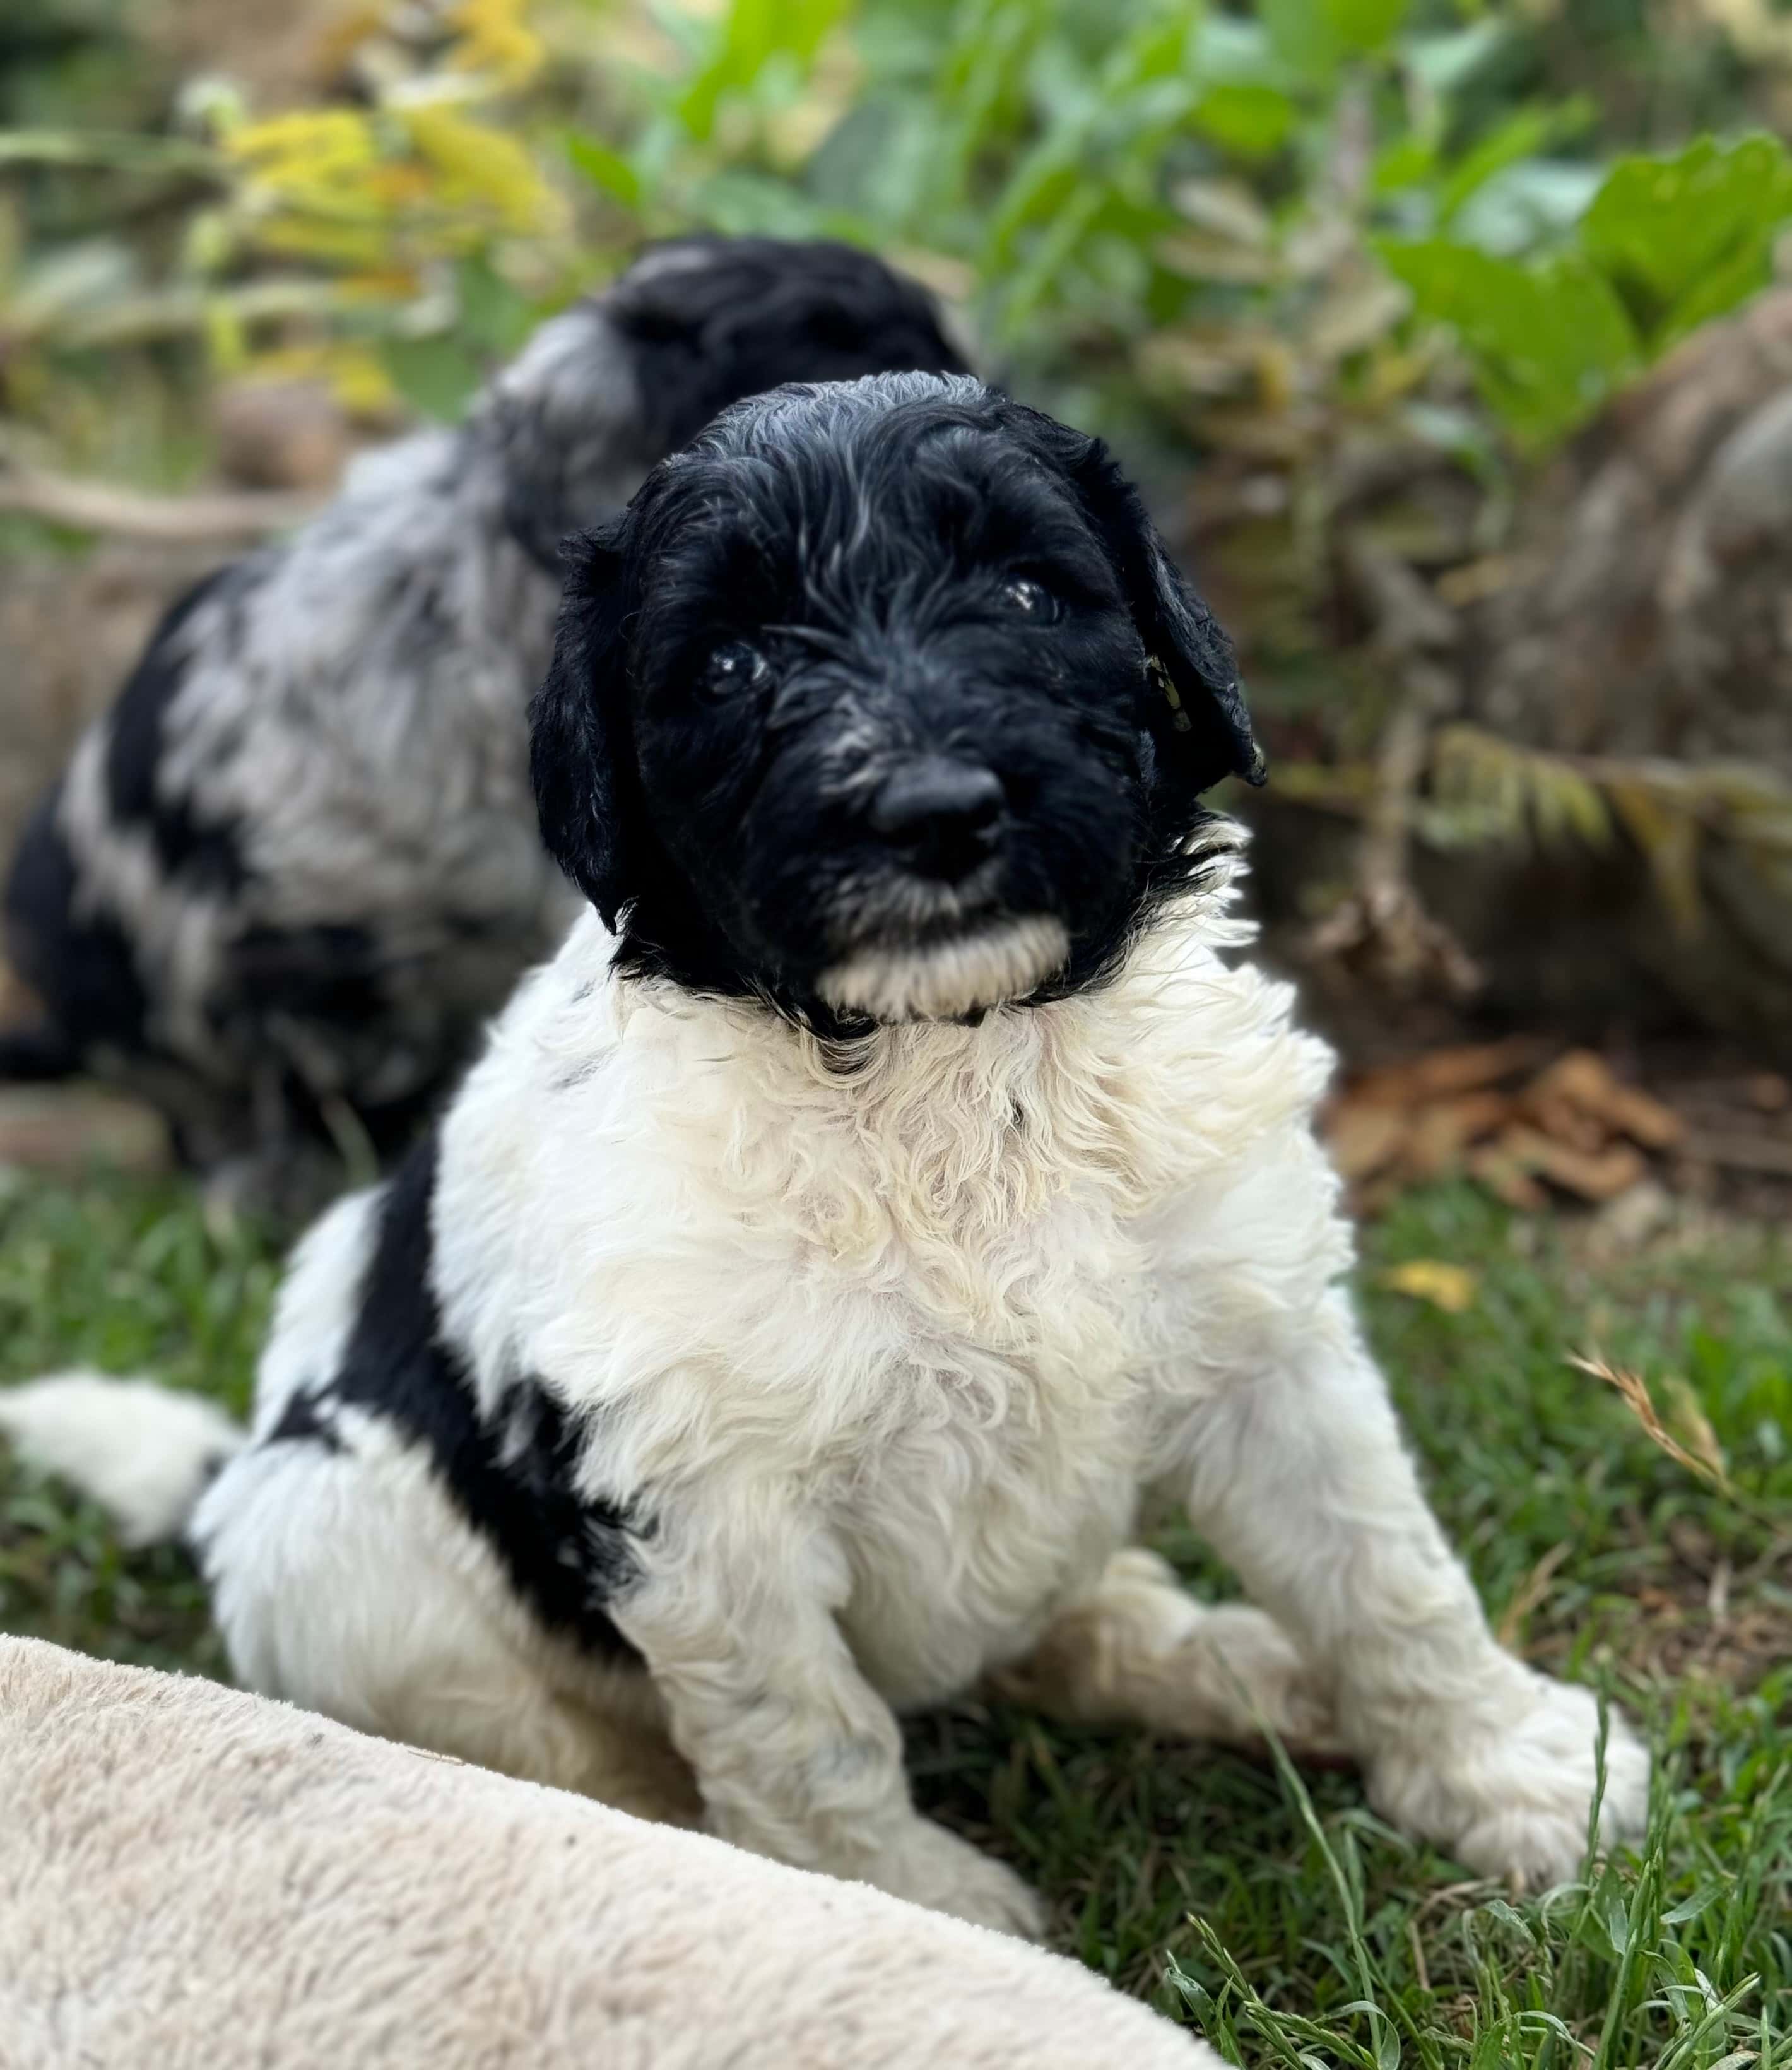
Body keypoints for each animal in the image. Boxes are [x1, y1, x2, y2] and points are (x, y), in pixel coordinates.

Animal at [0, 372, 1647, 1937]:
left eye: (1029, 592)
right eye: (730, 663)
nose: (932, 810)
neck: (948, 1064)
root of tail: (232, 1473)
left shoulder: (1263, 1332)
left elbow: (1384, 1569)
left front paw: (1514, 1774)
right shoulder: (699, 1497)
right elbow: (807, 1735)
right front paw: (908, 1909)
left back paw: (1226, 1662)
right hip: (329, 1541)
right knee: (581, 1750)